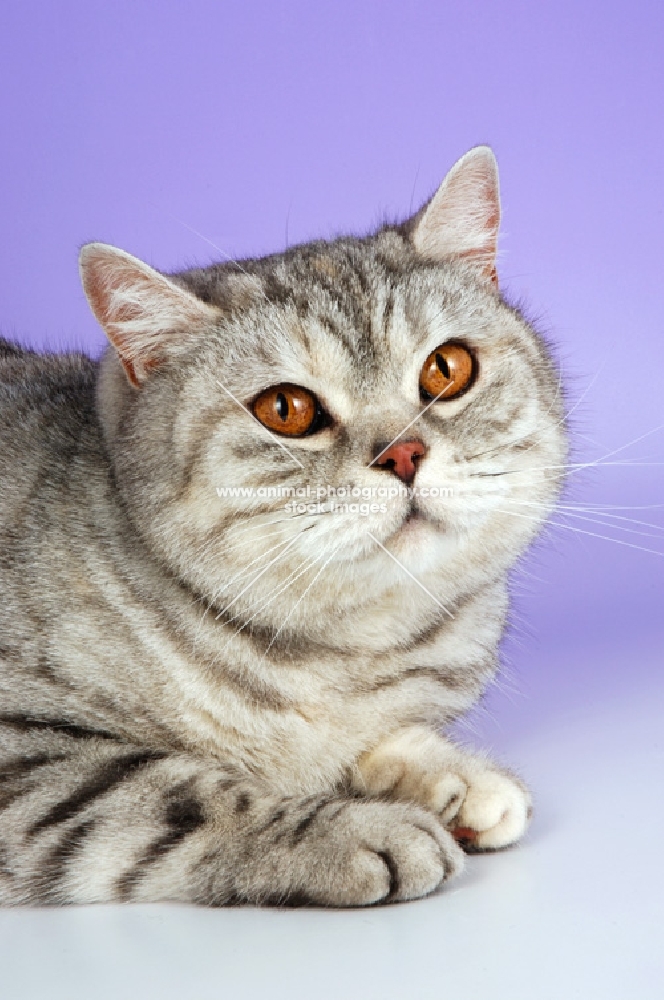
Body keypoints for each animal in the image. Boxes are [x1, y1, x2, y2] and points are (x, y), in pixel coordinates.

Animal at [0, 146, 564, 908]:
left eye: (447, 370)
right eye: (287, 410)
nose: (403, 453)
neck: (343, 656)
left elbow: (375, 737)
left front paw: (451, 776)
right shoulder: (28, 756)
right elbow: (183, 790)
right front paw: (357, 829)